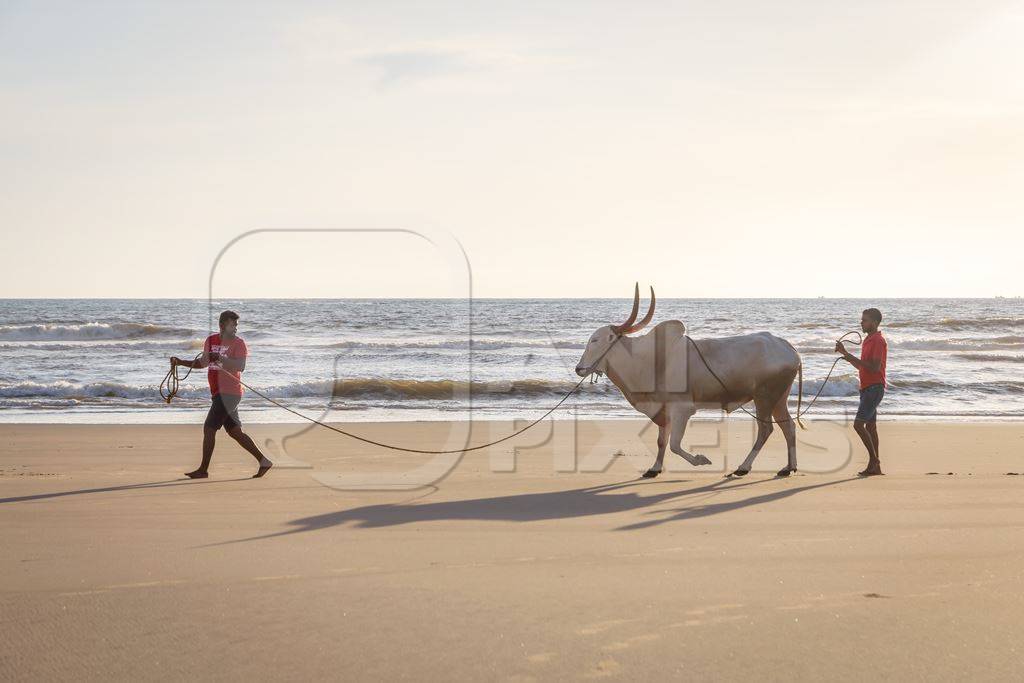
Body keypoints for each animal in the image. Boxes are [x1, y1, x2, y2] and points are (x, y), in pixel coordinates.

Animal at [573, 286, 802, 479]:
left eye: (595, 340)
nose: (579, 368)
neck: (649, 360)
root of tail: (788, 347)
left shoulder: (682, 409)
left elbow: (674, 444)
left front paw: (701, 460)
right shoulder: (663, 409)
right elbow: (661, 441)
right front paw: (654, 469)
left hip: (764, 397)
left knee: (766, 430)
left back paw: (743, 467)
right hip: (778, 399)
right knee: (788, 426)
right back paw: (788, 467)